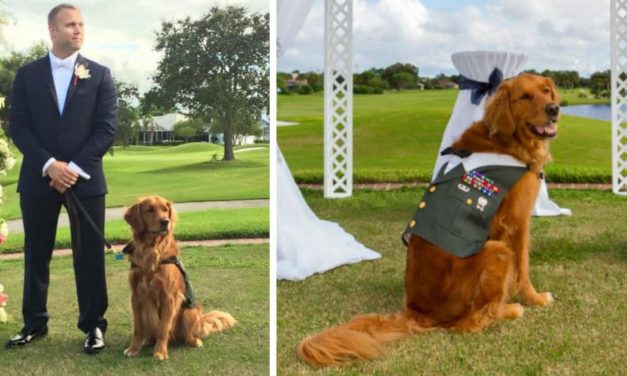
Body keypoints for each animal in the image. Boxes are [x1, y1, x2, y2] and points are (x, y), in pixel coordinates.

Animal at [122, 195, 236, 360]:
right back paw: (149, 340)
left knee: (189, 334)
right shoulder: (136, 296)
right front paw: (133, 348)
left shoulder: (168, 297)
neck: (151, 250)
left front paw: (160, 352)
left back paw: (194, 341)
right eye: (149, 209)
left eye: (165, 209)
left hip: (190, 312)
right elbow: (138, 328)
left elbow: (163, 328)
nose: (165, 221)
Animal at [300, 73, 560, 364]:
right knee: (469, 322)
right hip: (497, 251)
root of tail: (417, 311)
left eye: (546, 91)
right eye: (525, 96)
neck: (507, 141)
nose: (554, 109)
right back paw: (510, 309)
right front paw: (535, 298)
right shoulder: (516, 222)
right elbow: (523, 269)